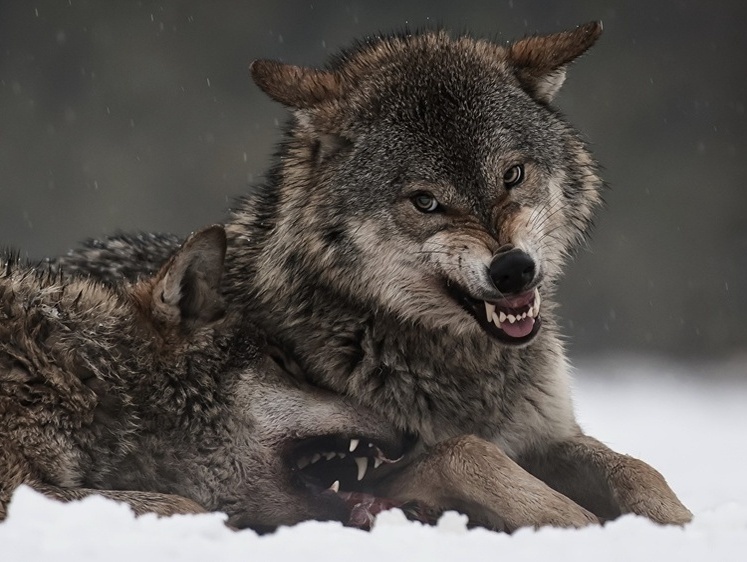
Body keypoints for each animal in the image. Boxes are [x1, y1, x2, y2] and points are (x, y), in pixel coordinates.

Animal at [54, 23, 696, 528]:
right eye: (426, 202)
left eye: (512, 175)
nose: (514, 269)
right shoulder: (362, 473)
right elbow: (469, 452)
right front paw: (578, 524)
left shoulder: (549, 435)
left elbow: (638, 470)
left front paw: (679, 525)